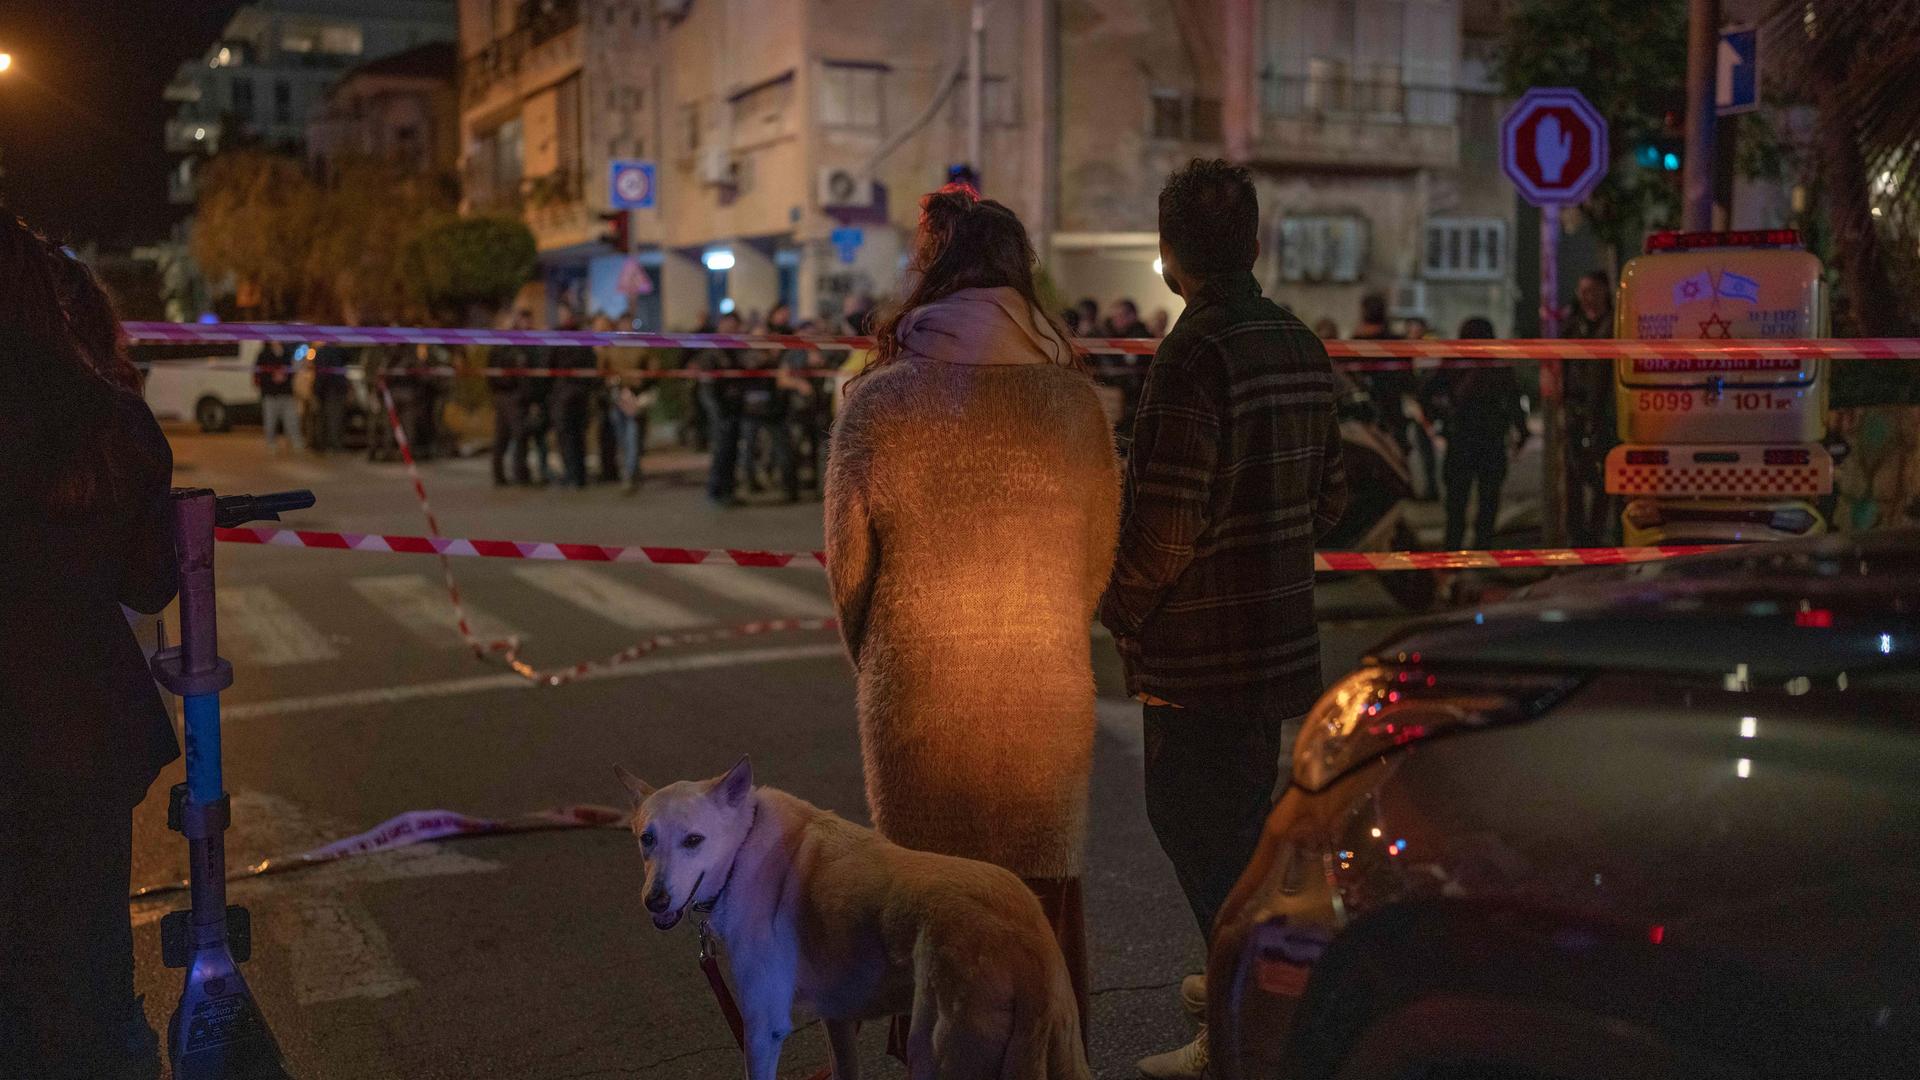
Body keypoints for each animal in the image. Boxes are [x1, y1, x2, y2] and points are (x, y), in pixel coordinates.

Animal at [622, 757, 1090, 1076]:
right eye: (647, 839)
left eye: (693, 840)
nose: (655, 900)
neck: (742, 845)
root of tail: (1026, 945)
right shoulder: (839, 1018)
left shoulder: (760, 1028)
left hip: (933, 1054)